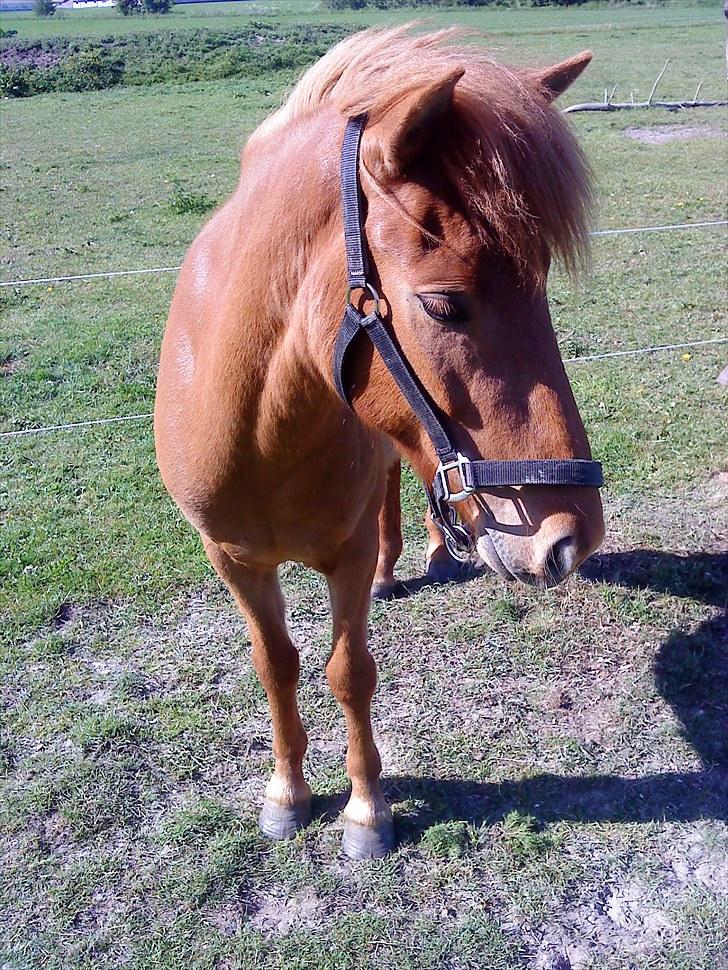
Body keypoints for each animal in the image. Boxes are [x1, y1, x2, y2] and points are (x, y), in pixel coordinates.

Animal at [156, 24, 604, 856]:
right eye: (444, 304)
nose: (572, 537)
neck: (260, 436)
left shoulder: (348, 553)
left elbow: (348, 671)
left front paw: (367, 810)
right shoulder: (231, 560)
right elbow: (277, 665)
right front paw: (287, 794)